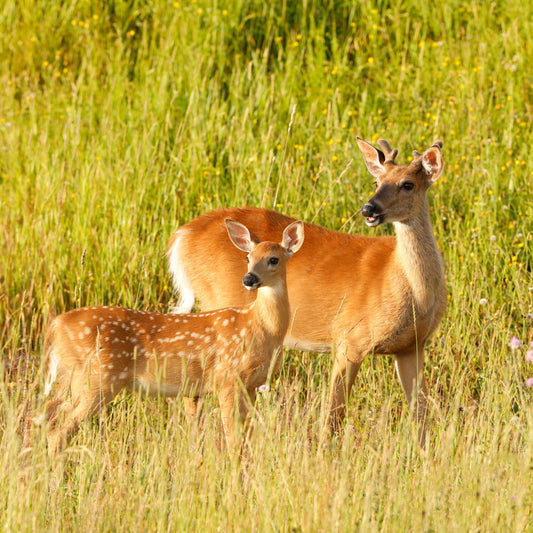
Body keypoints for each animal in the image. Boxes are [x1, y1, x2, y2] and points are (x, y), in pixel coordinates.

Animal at [41, 218, 304, 456]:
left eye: (273, 259)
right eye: (248, 258)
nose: (248, 279)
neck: (260, 327)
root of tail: (56, 324)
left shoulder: (251, 384)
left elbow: (246, 439)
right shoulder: (227, 378)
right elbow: (233, 439)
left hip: (73, 378)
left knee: (49, 414)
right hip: (96, 377)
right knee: (60, 428)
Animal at [165, 137, 444, 444]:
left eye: (408, 184)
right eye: (376, 181)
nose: (368, 209)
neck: (411, 289)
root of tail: (181, 237)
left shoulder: (412, 345)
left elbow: (421, 415)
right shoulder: (349, 338)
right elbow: (334, 416)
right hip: (220, 309)